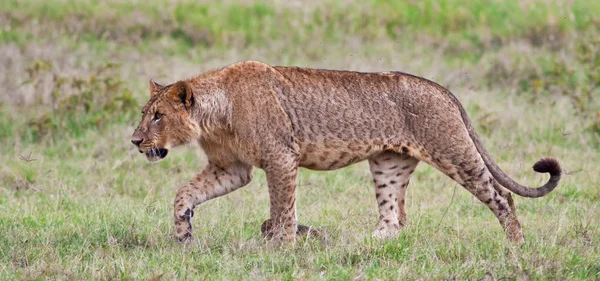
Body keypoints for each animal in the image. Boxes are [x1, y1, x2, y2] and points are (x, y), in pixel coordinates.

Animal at [131, 60, 564, 243]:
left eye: (157, 116)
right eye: (144, 114)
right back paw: (362, 243)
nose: (135, 141)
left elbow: (282, 209)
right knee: (393, 220)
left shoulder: (280, 158)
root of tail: (441, 88)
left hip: (454, 152)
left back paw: (516, 246)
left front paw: (279, 247)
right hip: (388, 164)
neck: (214, 116)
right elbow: (184, 194)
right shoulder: (232, 167)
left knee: (502, 196)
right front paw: (183, 235)